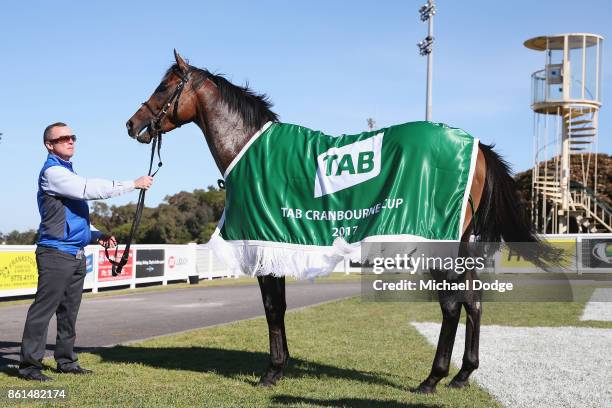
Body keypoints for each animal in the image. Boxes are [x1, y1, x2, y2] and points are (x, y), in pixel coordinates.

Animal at [126, 50, 552, 392]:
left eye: (164, 87)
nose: (132, 125)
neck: (247, 147)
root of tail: (476, 146)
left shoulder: (265, 246)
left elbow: (272, 308)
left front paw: (271, 372)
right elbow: (278, 307)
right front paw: (280, 367)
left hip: (438, 245)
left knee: (451, 306)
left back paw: (432, 379)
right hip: (463, 246)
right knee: (473, 302)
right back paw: (463, 375)